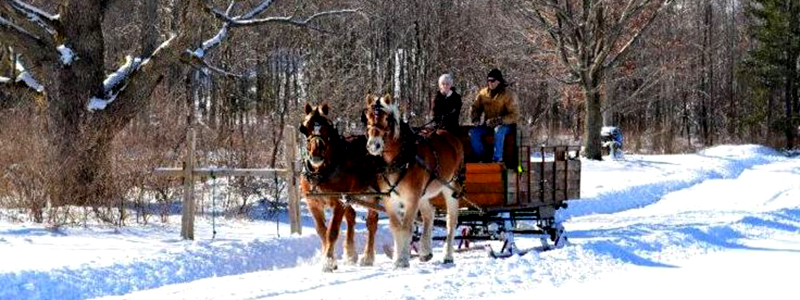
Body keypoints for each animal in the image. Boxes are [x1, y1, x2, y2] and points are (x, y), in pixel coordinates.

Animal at [298, 103, 382, 272]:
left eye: (327, 128)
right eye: (304, 128)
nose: (316, 155)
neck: (321, 171)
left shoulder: (337, 202)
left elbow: (332, 231)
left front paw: (328, 262)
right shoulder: (313, 204)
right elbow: (321, 231)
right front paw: (329, 257)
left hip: (372, 193)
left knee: (372, 222)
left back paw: (367, 257)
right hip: (349, 196)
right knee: (351, 215)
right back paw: (350, 254)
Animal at [366, 94, 466, 268]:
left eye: (386, 118)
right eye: (367, 116)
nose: (374, 145)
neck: (400, 157)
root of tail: (451, 137)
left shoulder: (411, 198)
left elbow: (406, 227)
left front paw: (403, 260)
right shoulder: (389, 198)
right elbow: (396, 227)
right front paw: (397, 258)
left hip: (451, 187)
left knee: (451, 220)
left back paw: (448, 255)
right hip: (423, 193)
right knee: (429, 214)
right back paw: (425, 251)